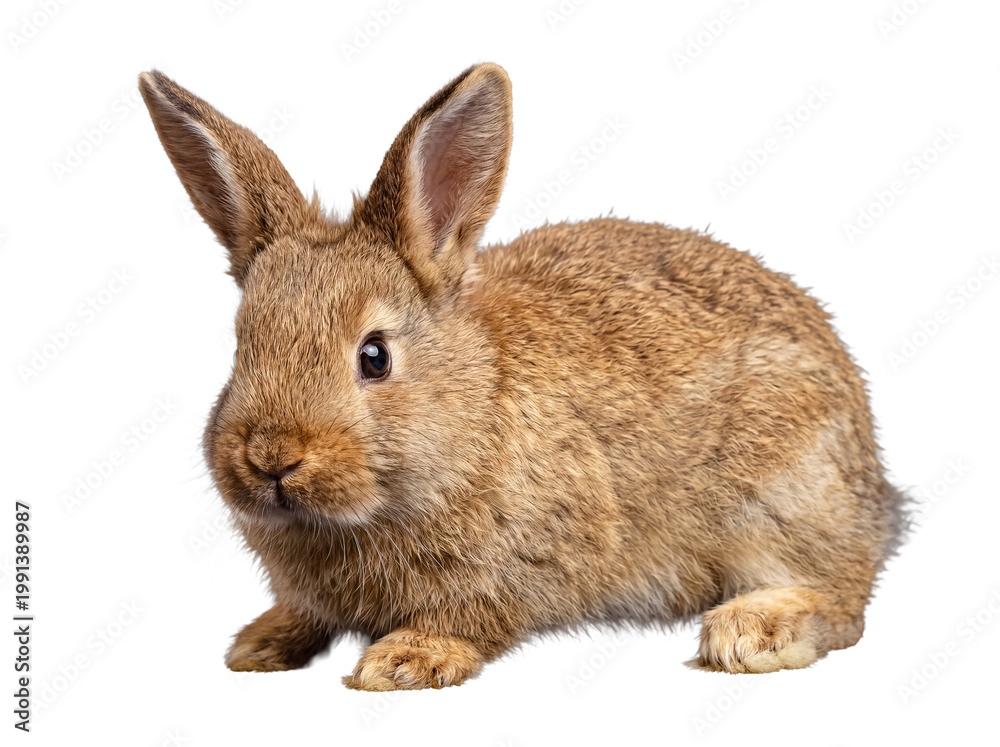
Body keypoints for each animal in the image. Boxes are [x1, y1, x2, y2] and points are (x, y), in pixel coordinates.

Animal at [138, 62, 907, 691]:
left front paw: (404, 660)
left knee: (843, 598)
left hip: (782, 491)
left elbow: (473, 616)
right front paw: (260, 644)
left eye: (374, 356)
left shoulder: (531, 557)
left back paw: (752, 632)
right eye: (241, 346)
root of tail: (874, 481)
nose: (271, 457)